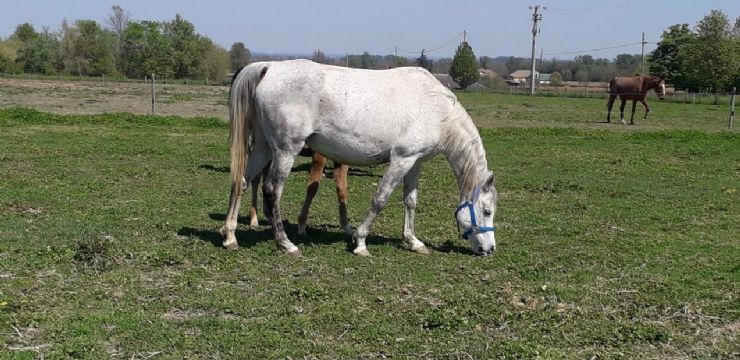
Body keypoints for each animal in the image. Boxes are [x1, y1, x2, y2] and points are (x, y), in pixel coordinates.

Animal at [220, 59, 498, 256]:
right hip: (285, 150)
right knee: (271, 190)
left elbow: (410, 201)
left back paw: (230, 236)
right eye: (486, 211)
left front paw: (413, 241)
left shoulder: (414, 163)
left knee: (241, 182)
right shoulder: (401, 160)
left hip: (264, 148)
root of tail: (269, 67)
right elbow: (380, 199)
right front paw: (360, 241)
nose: (490, 249)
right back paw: (286, 243)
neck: (436, 109)